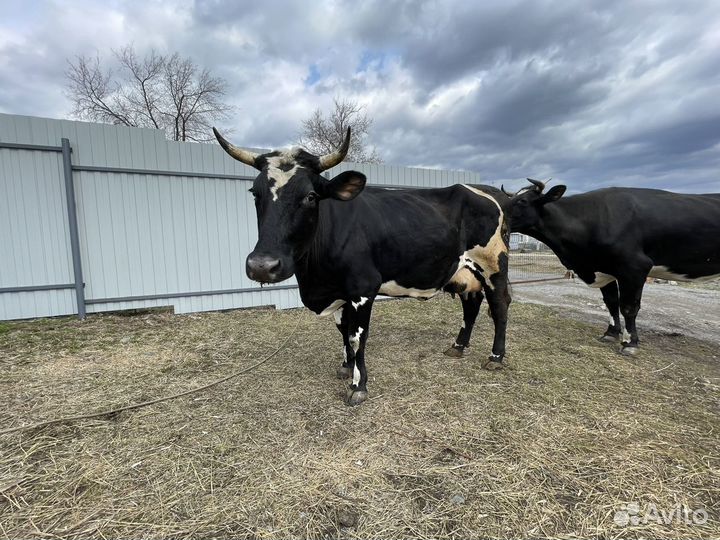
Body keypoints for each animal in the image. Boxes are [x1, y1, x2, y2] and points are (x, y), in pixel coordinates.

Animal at [214, 127, 512, 405]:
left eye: (310, 196)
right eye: (255, 193)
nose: (262, 266)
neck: (315, 279)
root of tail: (484, 192)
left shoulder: (362, 289)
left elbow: (357, 337)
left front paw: (358, 385)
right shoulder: (339, 292)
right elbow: (342, 331)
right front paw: (346, 367)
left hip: (493, 265)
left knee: (499, 305)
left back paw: (495, 357)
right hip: (465, 273)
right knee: (471, 304)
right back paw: (458, 346)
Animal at [508, 178, 720, 354]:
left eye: (522, 201)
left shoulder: (635, 267)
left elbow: (628, 307)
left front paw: (630, 342)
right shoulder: (603, 269)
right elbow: (611, 302)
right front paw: (611, 333)